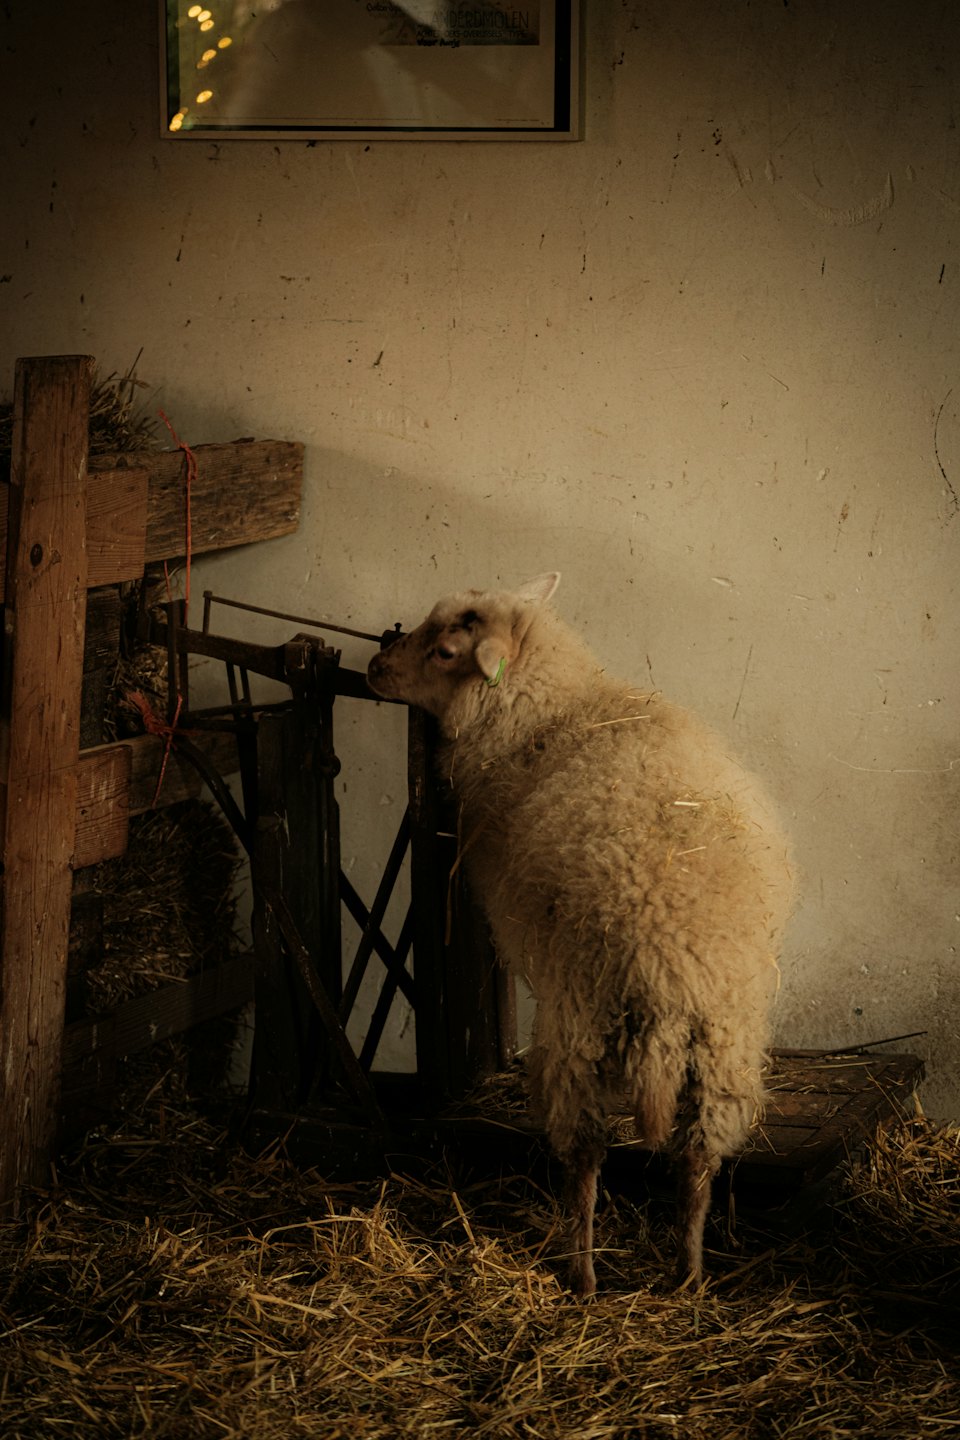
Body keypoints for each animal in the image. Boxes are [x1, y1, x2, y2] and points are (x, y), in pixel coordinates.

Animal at [367, 572, 794, 1296]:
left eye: (446, 650)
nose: (374, 666)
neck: (548, 711)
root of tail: (671, 972)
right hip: (725, 1052)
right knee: (698, 1163)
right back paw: (688, 1274)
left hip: (579, 1027)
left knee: (585, 1159)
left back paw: (584, 1272)